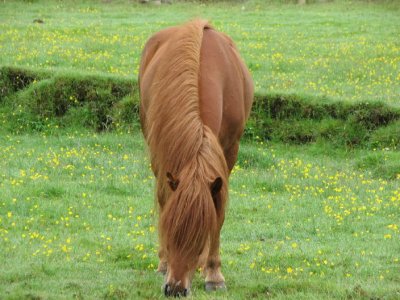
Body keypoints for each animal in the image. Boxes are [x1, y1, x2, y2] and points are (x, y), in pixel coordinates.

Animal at [139, 19, 253, 296]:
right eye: (170, 234)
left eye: (199, 239)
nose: (175, 289)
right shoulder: (164, 154)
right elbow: (164, 201)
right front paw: (164, 263)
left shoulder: (228, 153)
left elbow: (218, 214)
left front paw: (213, 273)